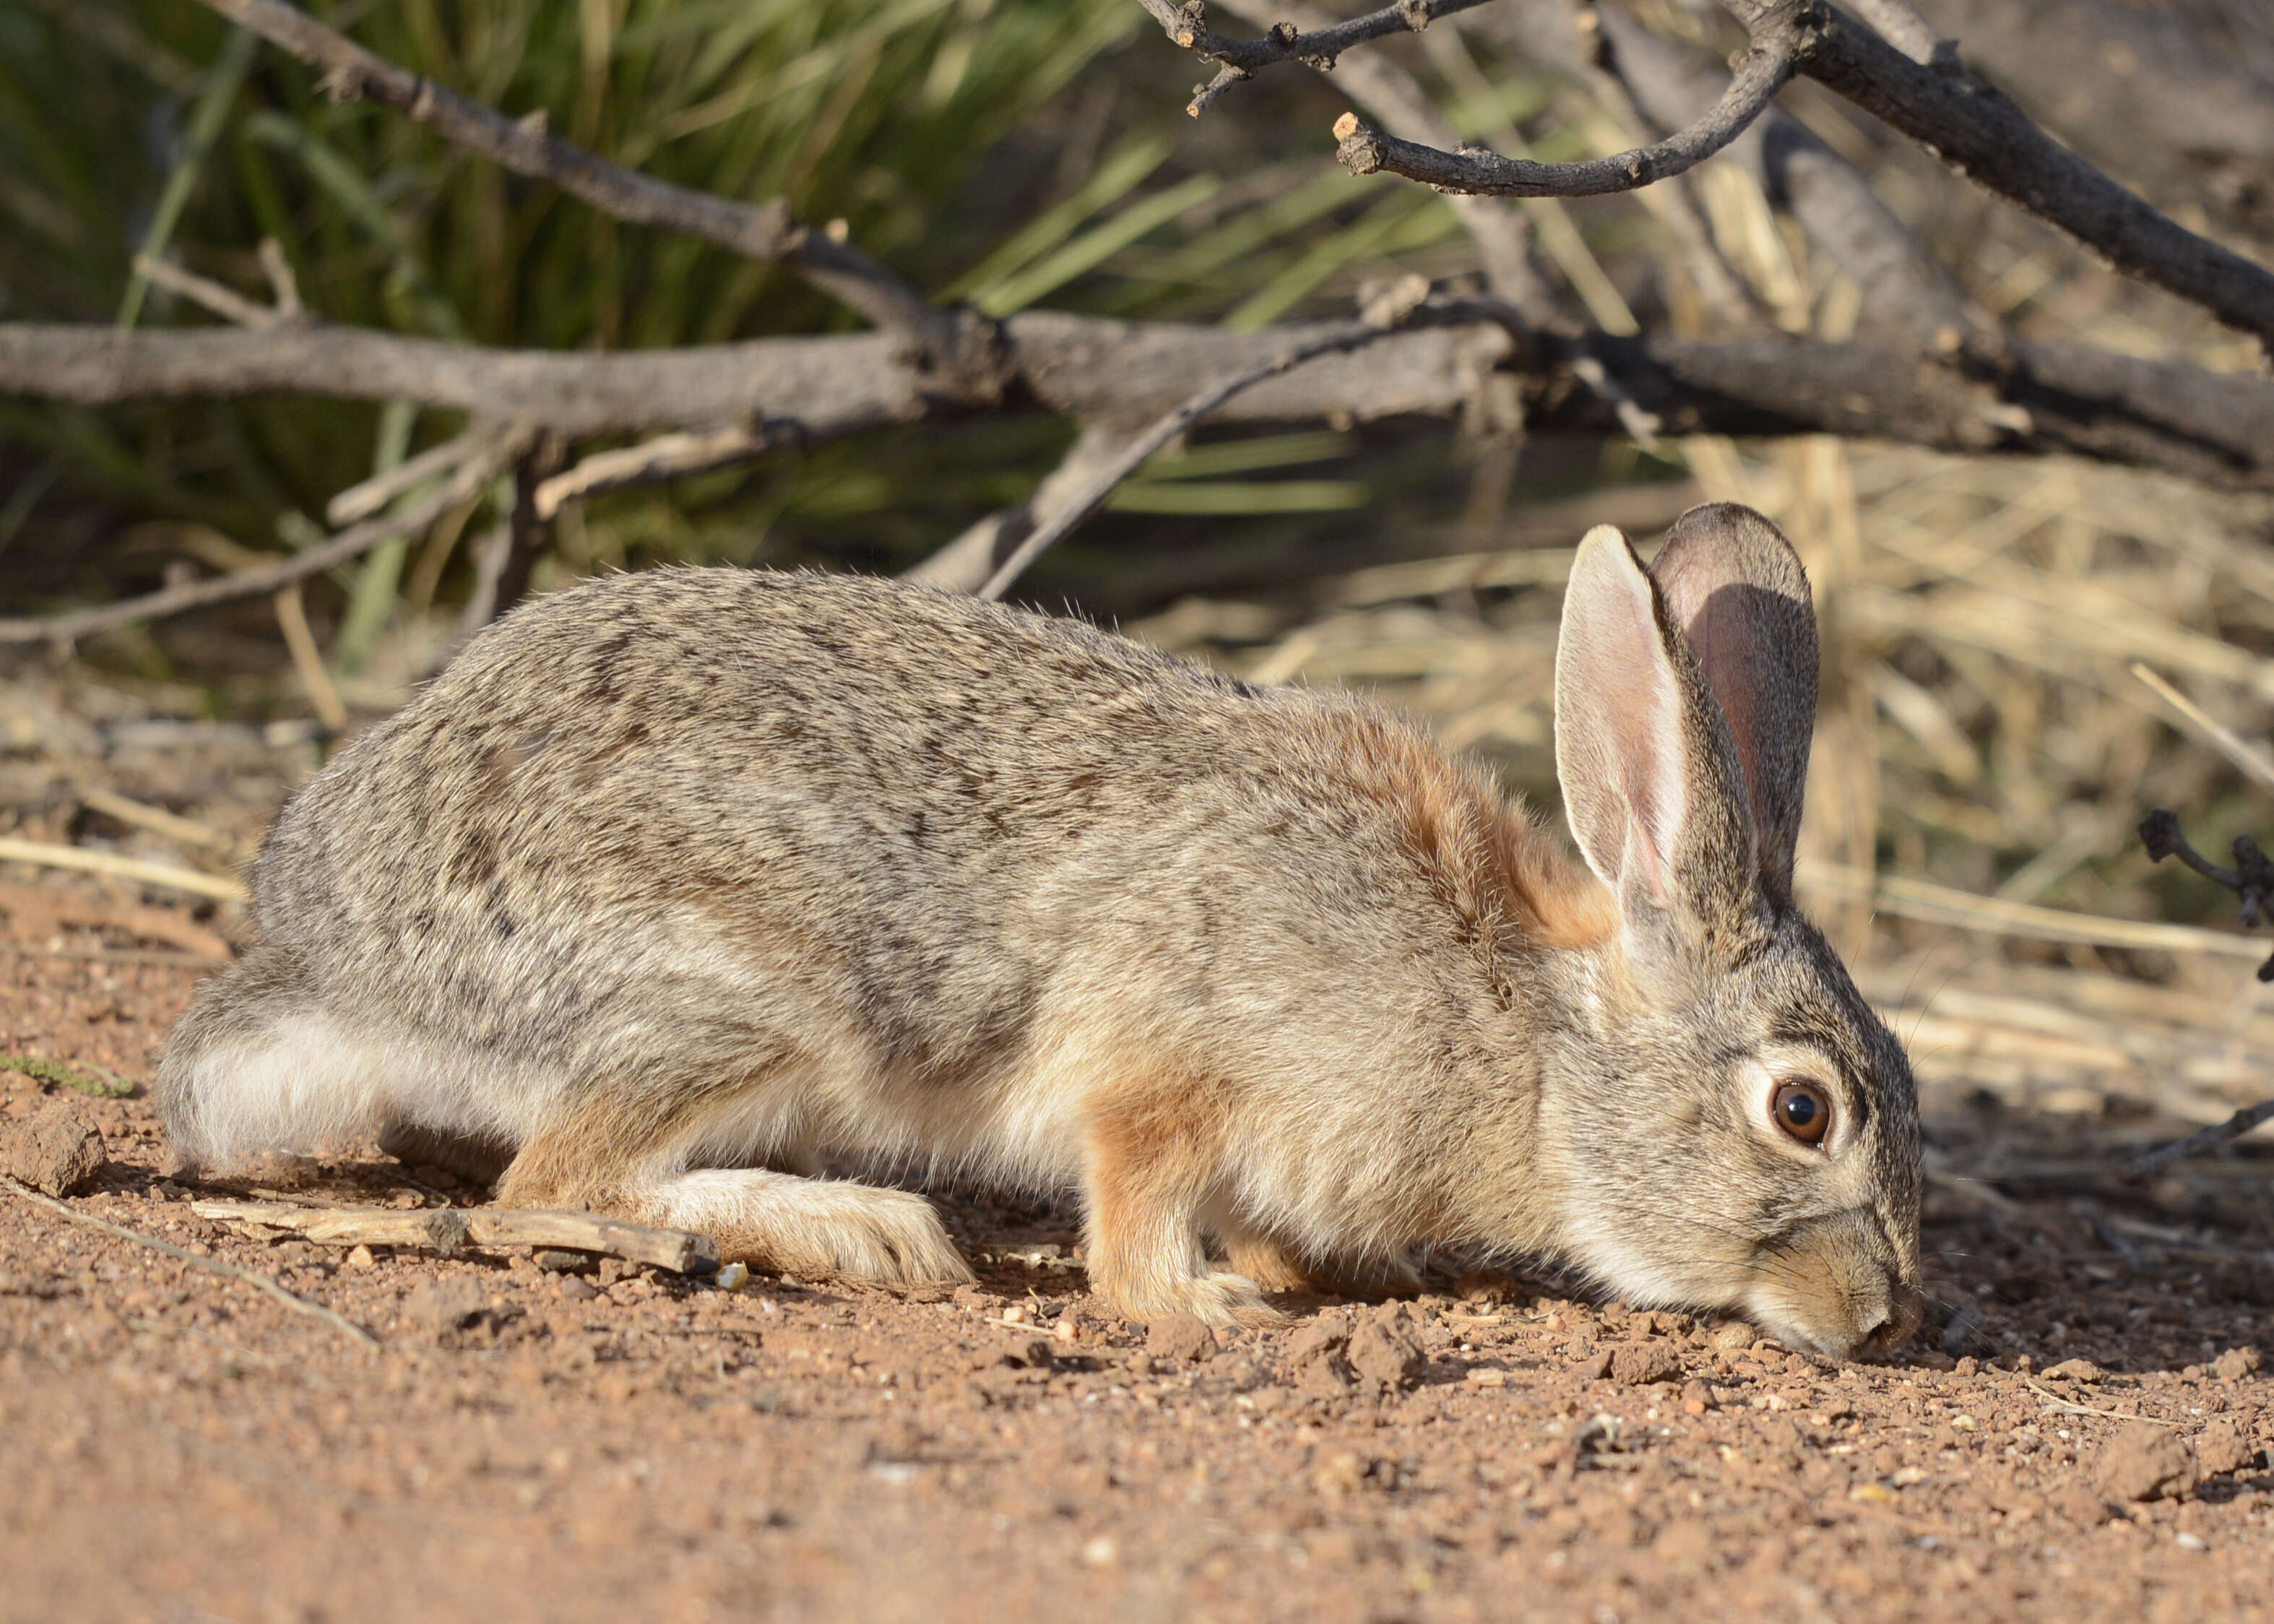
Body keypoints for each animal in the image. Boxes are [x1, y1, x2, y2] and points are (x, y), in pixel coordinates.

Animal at [165, 500, 1919, 1346]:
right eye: (1800, 1108)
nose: (1884, 1315)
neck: (1531, 1045)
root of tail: (326, 951)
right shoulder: (1164, 1062)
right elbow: (1131, 1212)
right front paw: (1202, 1306)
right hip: (744, 989)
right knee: (554, 1182)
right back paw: (852, 1227)